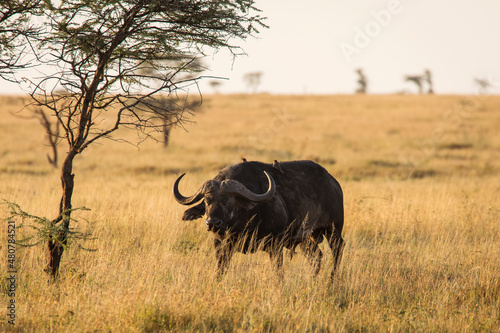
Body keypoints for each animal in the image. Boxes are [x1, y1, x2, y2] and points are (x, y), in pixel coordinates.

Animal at [173, 160, 344, 278]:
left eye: (229, 201)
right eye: (207, 201)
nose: (212, 223)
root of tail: (333, 183)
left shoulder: (275, 245)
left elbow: (278, 272)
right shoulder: (220, 245)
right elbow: (220, 270)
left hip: (333, 229)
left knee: (337, 249)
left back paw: (333, 280)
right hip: (306, 239)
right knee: (316, 257)